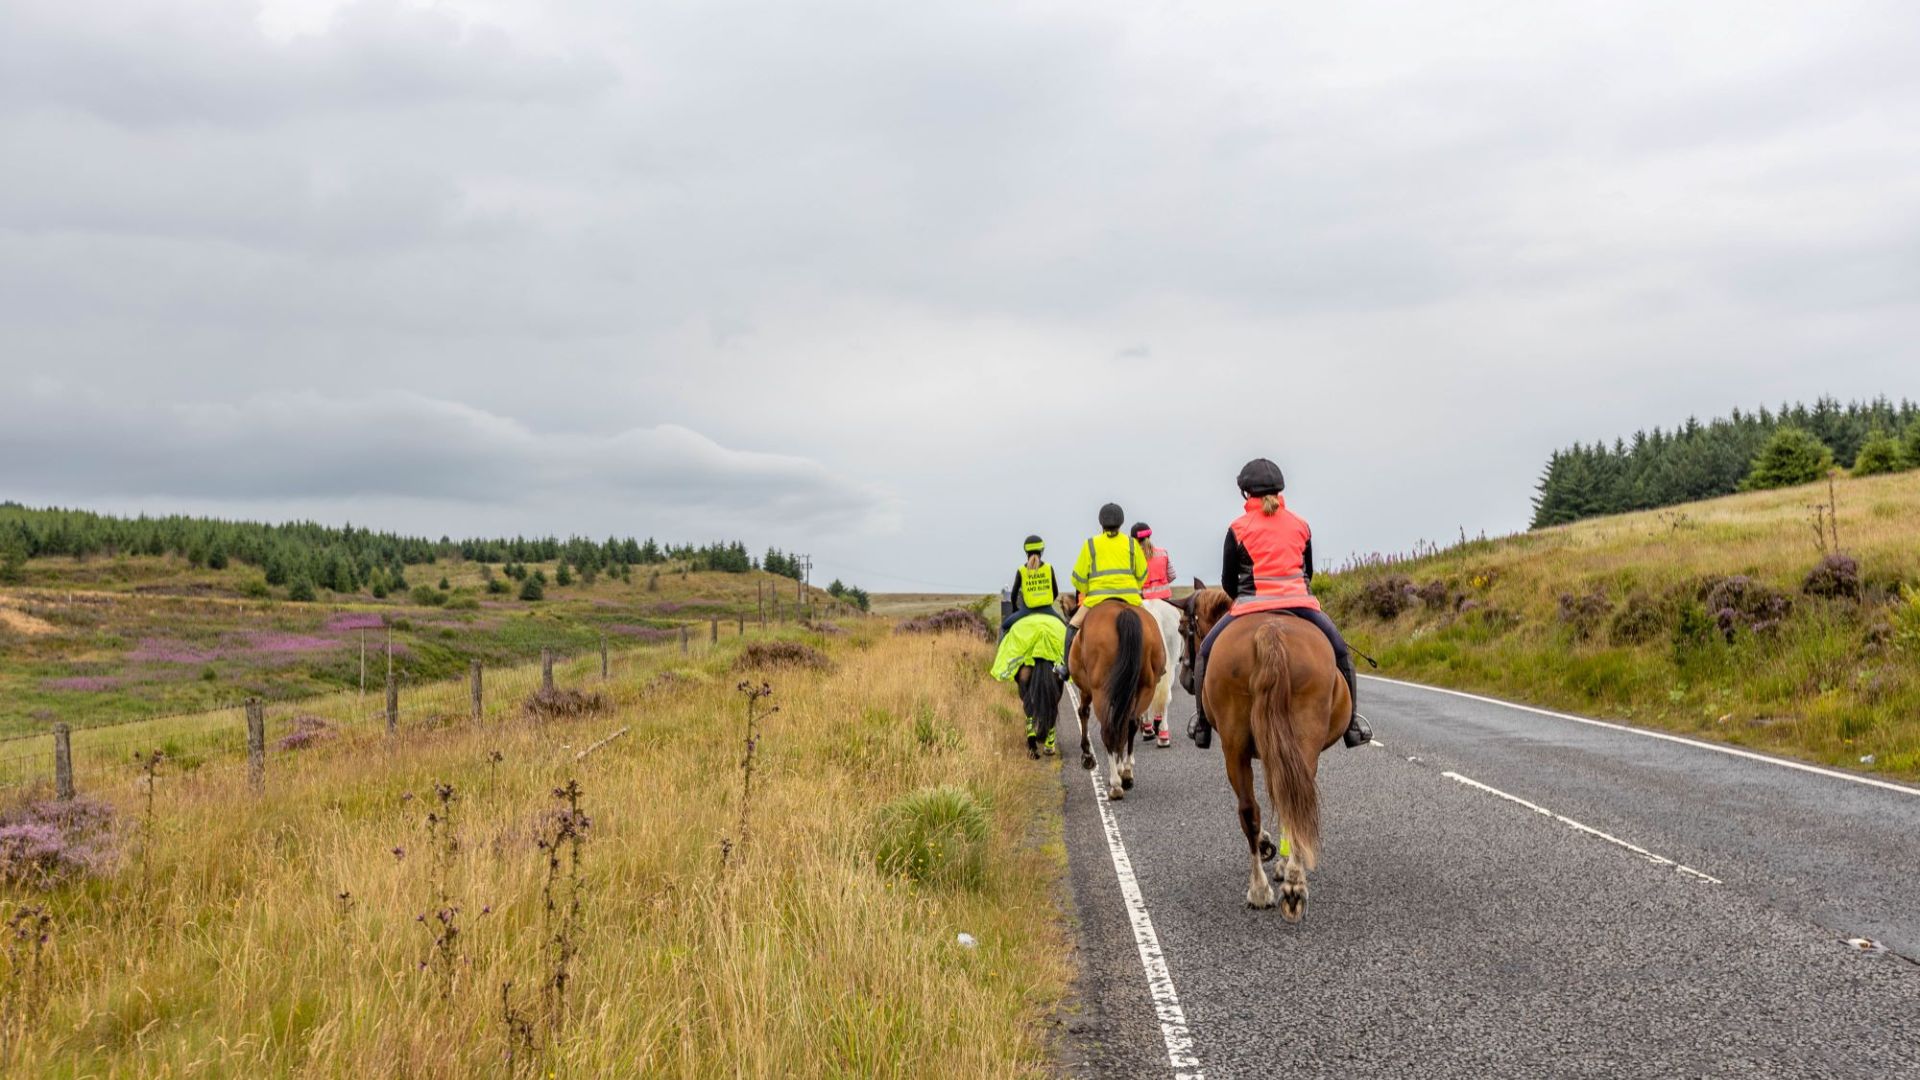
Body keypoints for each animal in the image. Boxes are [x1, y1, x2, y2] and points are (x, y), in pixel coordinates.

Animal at [1067, 591, 1167, 795]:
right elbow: (1122, 727)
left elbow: (1084, 713)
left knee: (1107, 728)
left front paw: (1087, 755)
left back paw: (1115, 784)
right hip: (1146, 688)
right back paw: (1127, 774)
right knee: (1131, 723)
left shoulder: (1087, 690)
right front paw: (1122, 768)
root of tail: (1124, 613)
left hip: (1100, 691)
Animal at [1167, 580, 1351, 914]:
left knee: (1253, 809)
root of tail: (1270, 630)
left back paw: (1263, 887)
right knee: (1286, 801)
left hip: (1237, 748)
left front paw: (1271, 851)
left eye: (1182, 628)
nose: (1186, 678)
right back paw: (1290, 884)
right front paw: (1278, 857)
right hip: (1294, 743)